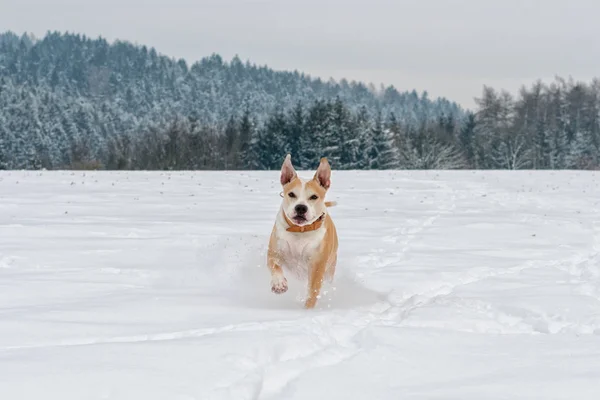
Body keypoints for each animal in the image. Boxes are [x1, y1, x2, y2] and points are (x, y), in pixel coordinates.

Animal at [268, 154, 338, 310]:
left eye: (314, 197)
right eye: (291, 194)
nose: (301, 207)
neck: (300, 230)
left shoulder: (317, 263)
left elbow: (313, 290)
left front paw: (307, 311)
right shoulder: (275, 250)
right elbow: (274, 265)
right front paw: (279, 284)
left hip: (330, 268)